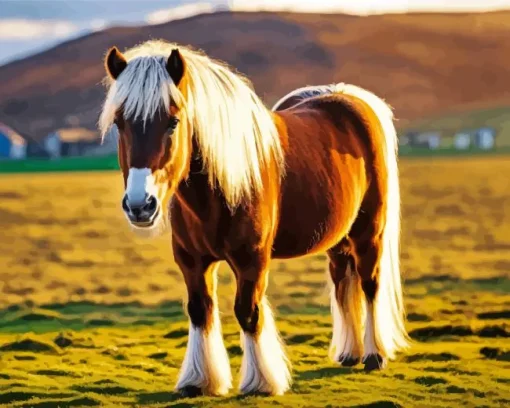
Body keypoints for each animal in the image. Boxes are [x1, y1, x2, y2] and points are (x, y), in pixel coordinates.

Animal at [98, 39, 410, 396]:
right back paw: (350, 353)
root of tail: (352, 98)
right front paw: (199, 380)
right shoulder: (191, 260)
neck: (217, 194)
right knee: (343, 280)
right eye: (120, 123)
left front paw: (261, 381)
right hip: (338, 238)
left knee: (370, 284)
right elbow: (200, 310)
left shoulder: (252, 260)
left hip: (369, 232)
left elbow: (248, 311)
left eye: (173, 121)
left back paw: (373, 355)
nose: (140, 205)